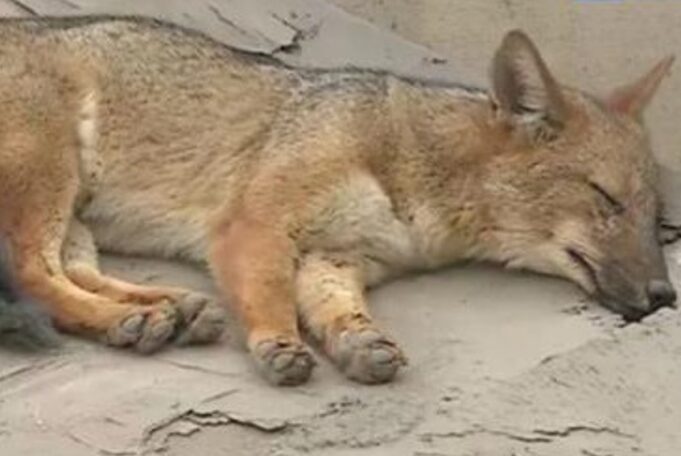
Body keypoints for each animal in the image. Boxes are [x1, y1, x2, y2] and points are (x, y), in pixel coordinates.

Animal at [0, 15, 676, 386]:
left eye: (655, 218)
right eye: (606, 198)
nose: (665, 295)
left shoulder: (339, 255)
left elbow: (336, 307)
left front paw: (357, 338)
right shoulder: (255, 224)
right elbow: (269, 291)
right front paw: (278, 343)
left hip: (75, 216)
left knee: (68, 273)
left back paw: (167, 309)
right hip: (51, 177)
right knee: (33, 274)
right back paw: (131, 320)